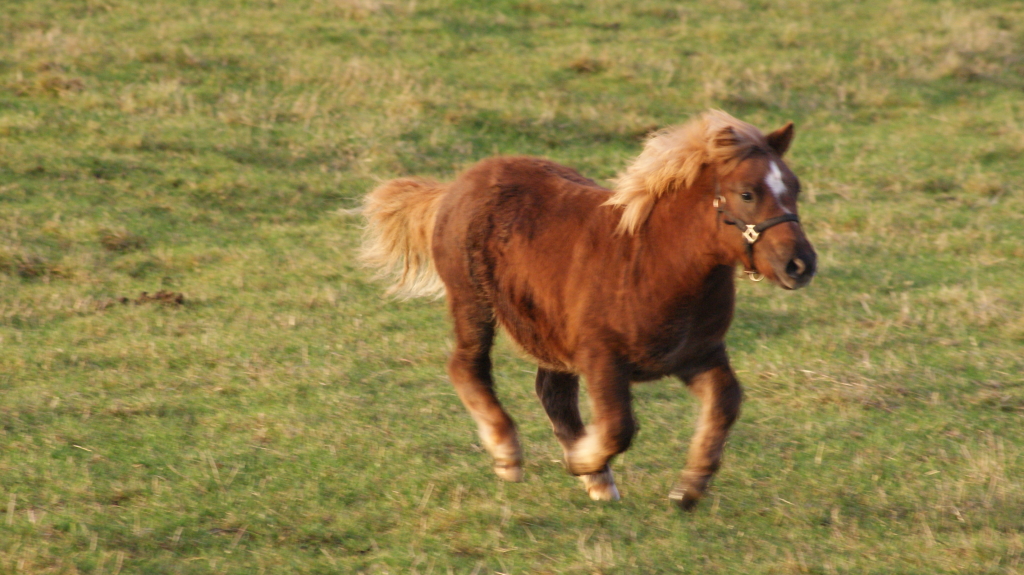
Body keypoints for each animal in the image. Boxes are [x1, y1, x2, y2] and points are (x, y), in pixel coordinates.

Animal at [360, 109, 815, 507]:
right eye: (747, 193)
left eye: (794, 188)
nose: (800, 264)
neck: (660, 264)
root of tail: (457, 186)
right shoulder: (602, 356)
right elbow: (618, 427)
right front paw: (582, 461)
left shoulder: (698, 354)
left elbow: (725, 402)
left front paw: (689, 487)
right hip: (472, 301)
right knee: (467, 365)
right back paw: (510, 454)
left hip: (548, 330)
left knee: (551, 392)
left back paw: (596, 479)